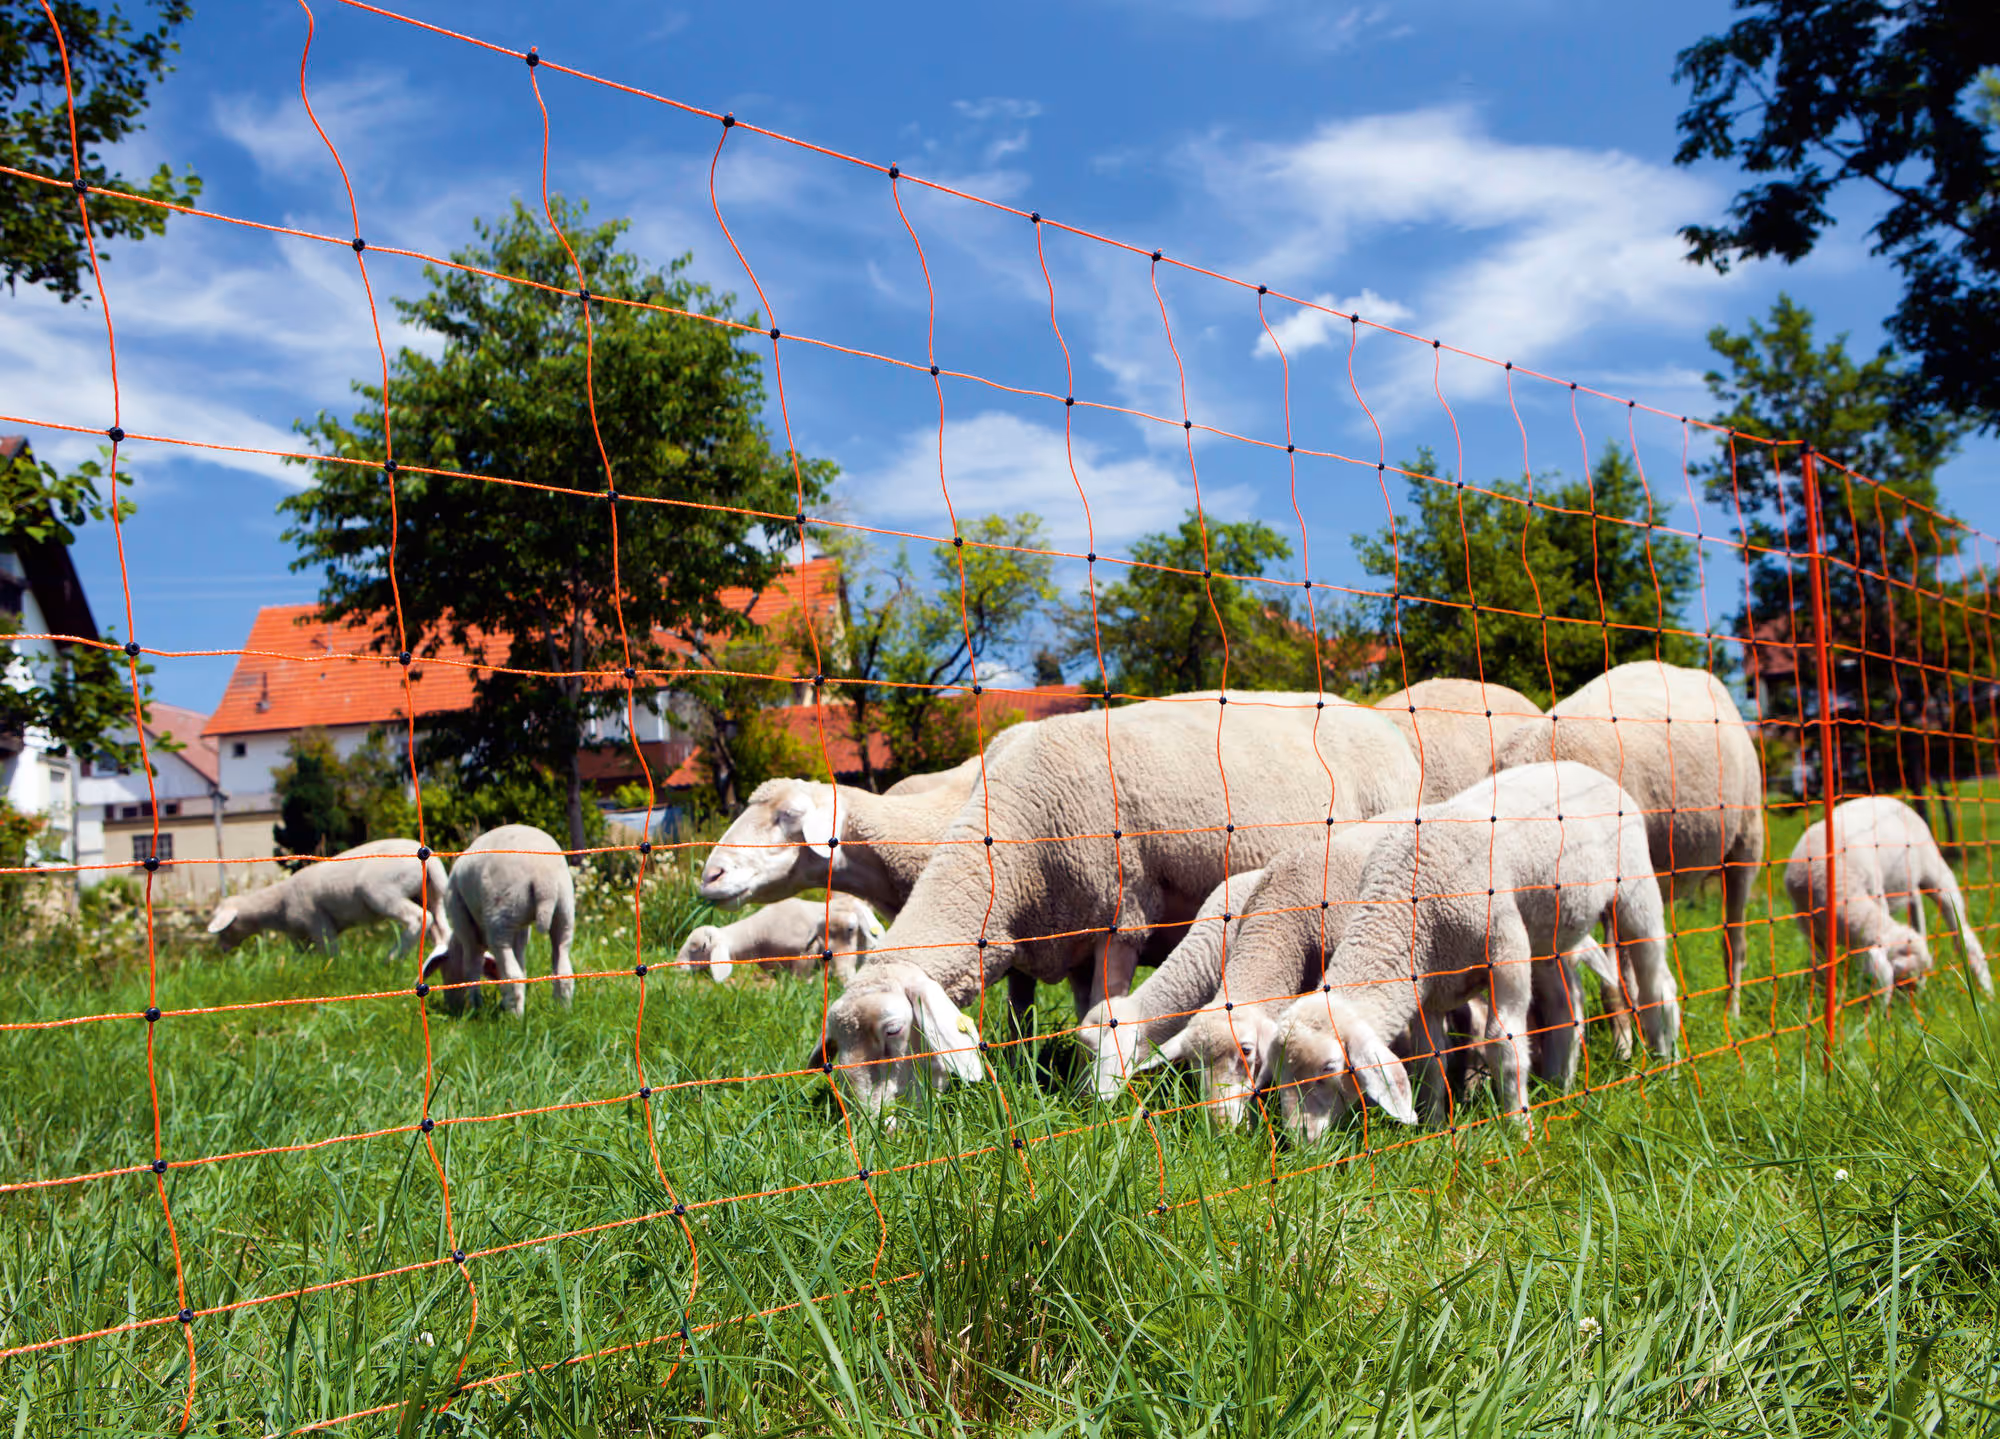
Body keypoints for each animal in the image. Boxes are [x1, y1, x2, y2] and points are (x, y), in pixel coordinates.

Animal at [205, 838, 449, 958]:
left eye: (225, 928)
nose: (223, 951)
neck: (278, 907)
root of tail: (430, 859)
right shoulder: (298, 935)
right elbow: (301, 957)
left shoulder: (317, 923)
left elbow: (329, 952)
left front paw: (333, 966)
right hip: (430, 894)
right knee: (440, 926)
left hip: (382, 892)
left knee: (418, 918)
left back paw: (392, 957)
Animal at [422, 825, 576, 1015]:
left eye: (444, 969)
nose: (451, 1004)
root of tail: (543, 878)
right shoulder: (520, 932)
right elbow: (520, 966)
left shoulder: (463, 923)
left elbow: (472, 966)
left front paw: (476, 1008)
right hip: (562, 910)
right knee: (563, 967)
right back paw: (562, 1011)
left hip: (500, 916)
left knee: (512, 974)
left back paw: (515, 1018)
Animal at [812, 692, 1426, 1112]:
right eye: (839, 1045)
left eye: (893, 1032)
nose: (874, 1128)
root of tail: (1375, 718)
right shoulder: (1053, 933)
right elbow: (1037, 1016)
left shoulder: (1120, 916)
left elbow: (1106, 1009)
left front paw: (1095, 1101)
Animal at [1262, 761, 1680, 1141]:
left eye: (1328, 1068)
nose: (1298, 1141)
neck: (1412, 907)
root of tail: (1584, 767)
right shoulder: (1427, 989)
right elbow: (1430, 1058)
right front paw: (1432, 1129)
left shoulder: (1507, 953)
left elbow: (1502, 1043)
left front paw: (1519, 1129)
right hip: (1551, 934)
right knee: (1567, 1005)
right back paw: (1560, 1083)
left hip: (1636, 890)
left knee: (1657, 986)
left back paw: (1668, 1067)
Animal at [1784, 794, 1991, 1004]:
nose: (1912, 1005)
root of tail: (1889, 799)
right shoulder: (1809, 927)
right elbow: (1819, 966)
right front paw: (1820, 996)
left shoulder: (1876, 894)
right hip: (1908, 882)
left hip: (1935, 869)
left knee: (1961, 931)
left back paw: (1986, 990)